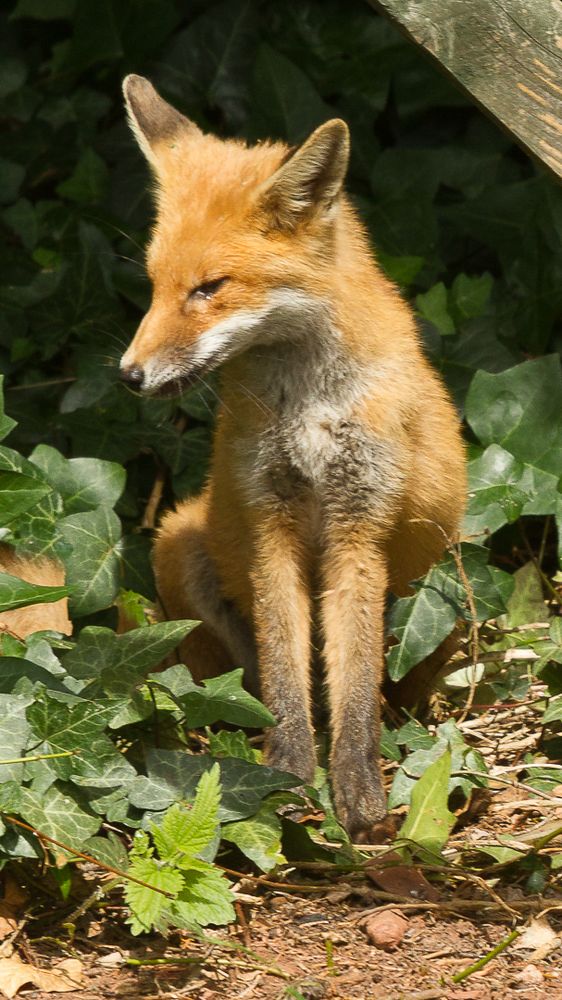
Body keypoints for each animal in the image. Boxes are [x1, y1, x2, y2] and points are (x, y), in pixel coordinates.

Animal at [118, 74, 464, 840]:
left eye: (209, 288)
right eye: (154, 286)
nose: (128, 376)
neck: (305, 408)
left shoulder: (359, 527)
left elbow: (355, 679)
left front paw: (358, 790)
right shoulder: (266, 519)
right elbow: (283, 669)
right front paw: (283, 776)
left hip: (437, 592)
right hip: (177, 545)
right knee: (242, 674)